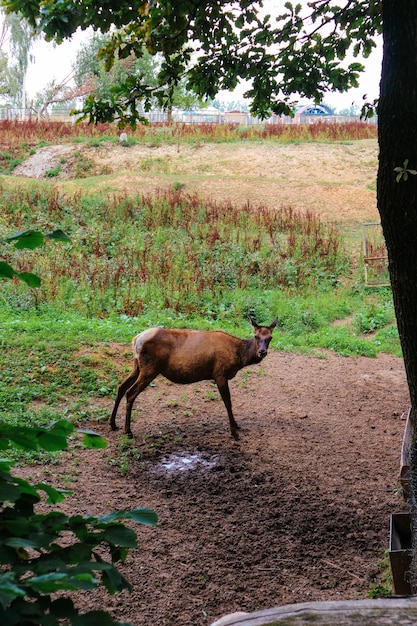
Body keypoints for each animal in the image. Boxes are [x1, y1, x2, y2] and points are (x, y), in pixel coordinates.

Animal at [109, 316, 276, 438]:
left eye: (270, 337)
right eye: (256, 336)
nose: (262, 352)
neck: (239, 357)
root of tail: (135, 340)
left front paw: (236, 426)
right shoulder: (220, 374)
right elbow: (228, 402)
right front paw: (234, 432)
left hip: (137, 366)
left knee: (121, 387)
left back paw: (113, 424)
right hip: (150, 369)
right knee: (130, 392)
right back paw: (128, 431)